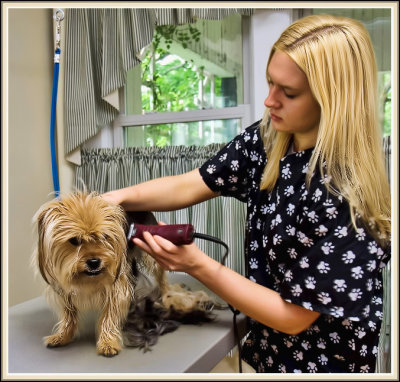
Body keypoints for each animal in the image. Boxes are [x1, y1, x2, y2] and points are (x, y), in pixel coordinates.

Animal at [32, 192, 217, 356]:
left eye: (104, 236)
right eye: (74, 240)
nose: (94, 262)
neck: (89, 278)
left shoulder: (117, 284)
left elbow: (109, 314)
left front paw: (107, 342)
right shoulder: (63, 286)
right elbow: (68, 315)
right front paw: (63, 335)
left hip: (152, 252)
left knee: (161, 276)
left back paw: (166, 294)